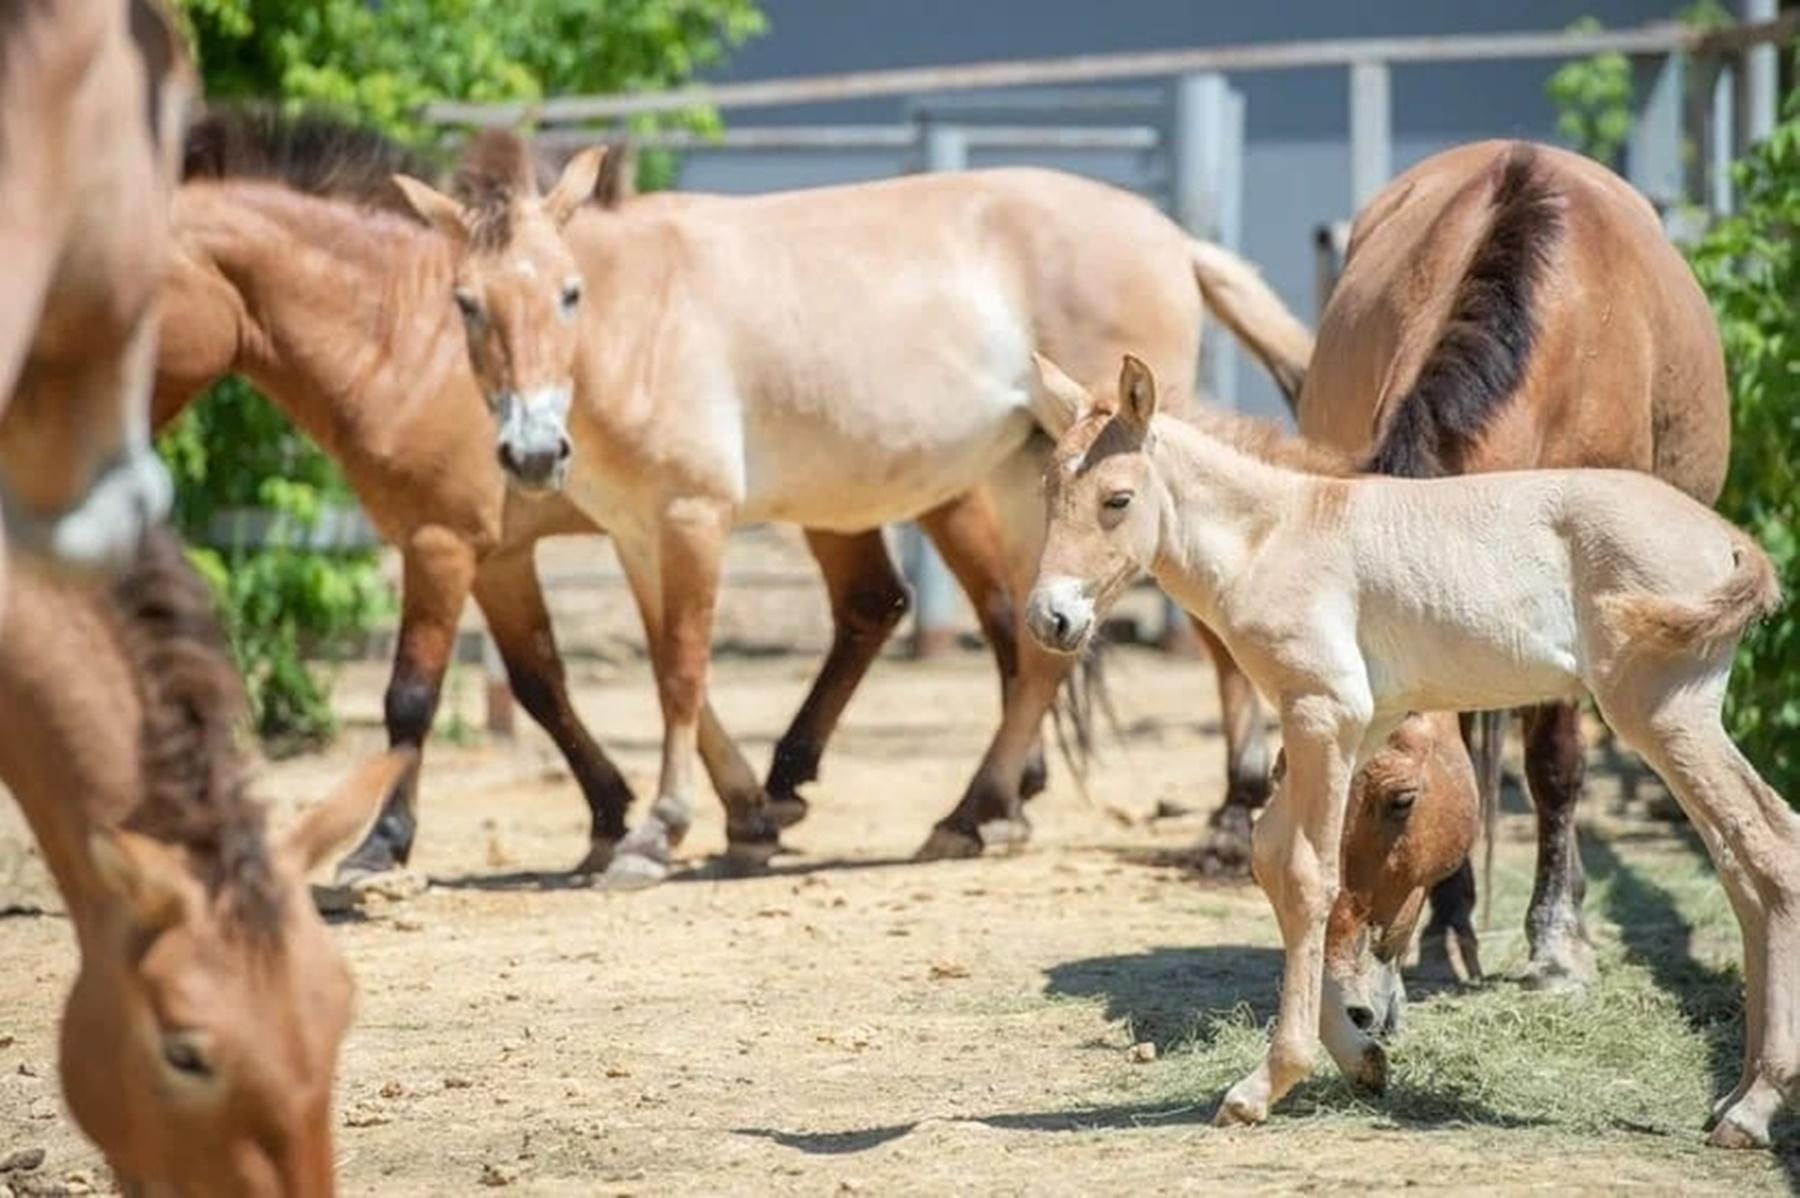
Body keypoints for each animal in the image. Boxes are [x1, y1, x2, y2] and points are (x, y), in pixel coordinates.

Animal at [154, 111, 1108, 877]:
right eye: (467, 305)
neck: (405, 342)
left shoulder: (446, 544)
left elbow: (414, 698)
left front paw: (381, 847)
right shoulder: (508, 554)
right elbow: (546, 680)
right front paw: (669, 814)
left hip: (936, 500)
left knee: (995, 621)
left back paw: (986, 802)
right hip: (849, 505)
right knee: (889, 609)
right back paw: (847, 785)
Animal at [1022, 356, 1792, 1151]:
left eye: (1116, 499)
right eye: (1047, 491)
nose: (1052, 620)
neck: (1277, 533)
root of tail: (1731, 540)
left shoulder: (1322, 713)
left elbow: (1307, 875)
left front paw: (1265, 1085)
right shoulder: (1359, 724)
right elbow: (1275, 860)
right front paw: (1361, 1055)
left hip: (1662, 715)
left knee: (1770, 845)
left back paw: (1755, 1106)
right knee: (1743, 866)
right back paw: (1732, 1098)